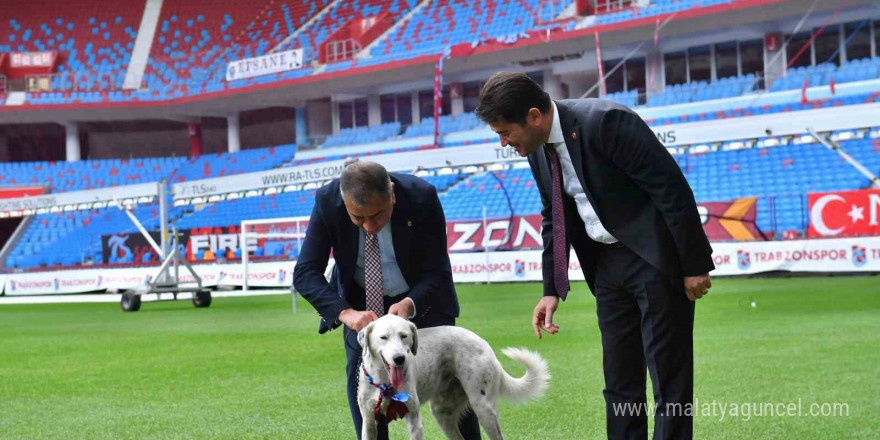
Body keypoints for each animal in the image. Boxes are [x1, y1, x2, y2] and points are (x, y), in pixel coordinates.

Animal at [358, 314, 552, 438]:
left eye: (404, 336)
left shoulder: (414, 420)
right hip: (443, 412)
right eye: (383, 337)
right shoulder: (368, 421)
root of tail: (485, 344)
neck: (384, 381)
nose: (399, 358)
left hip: (483, 408)